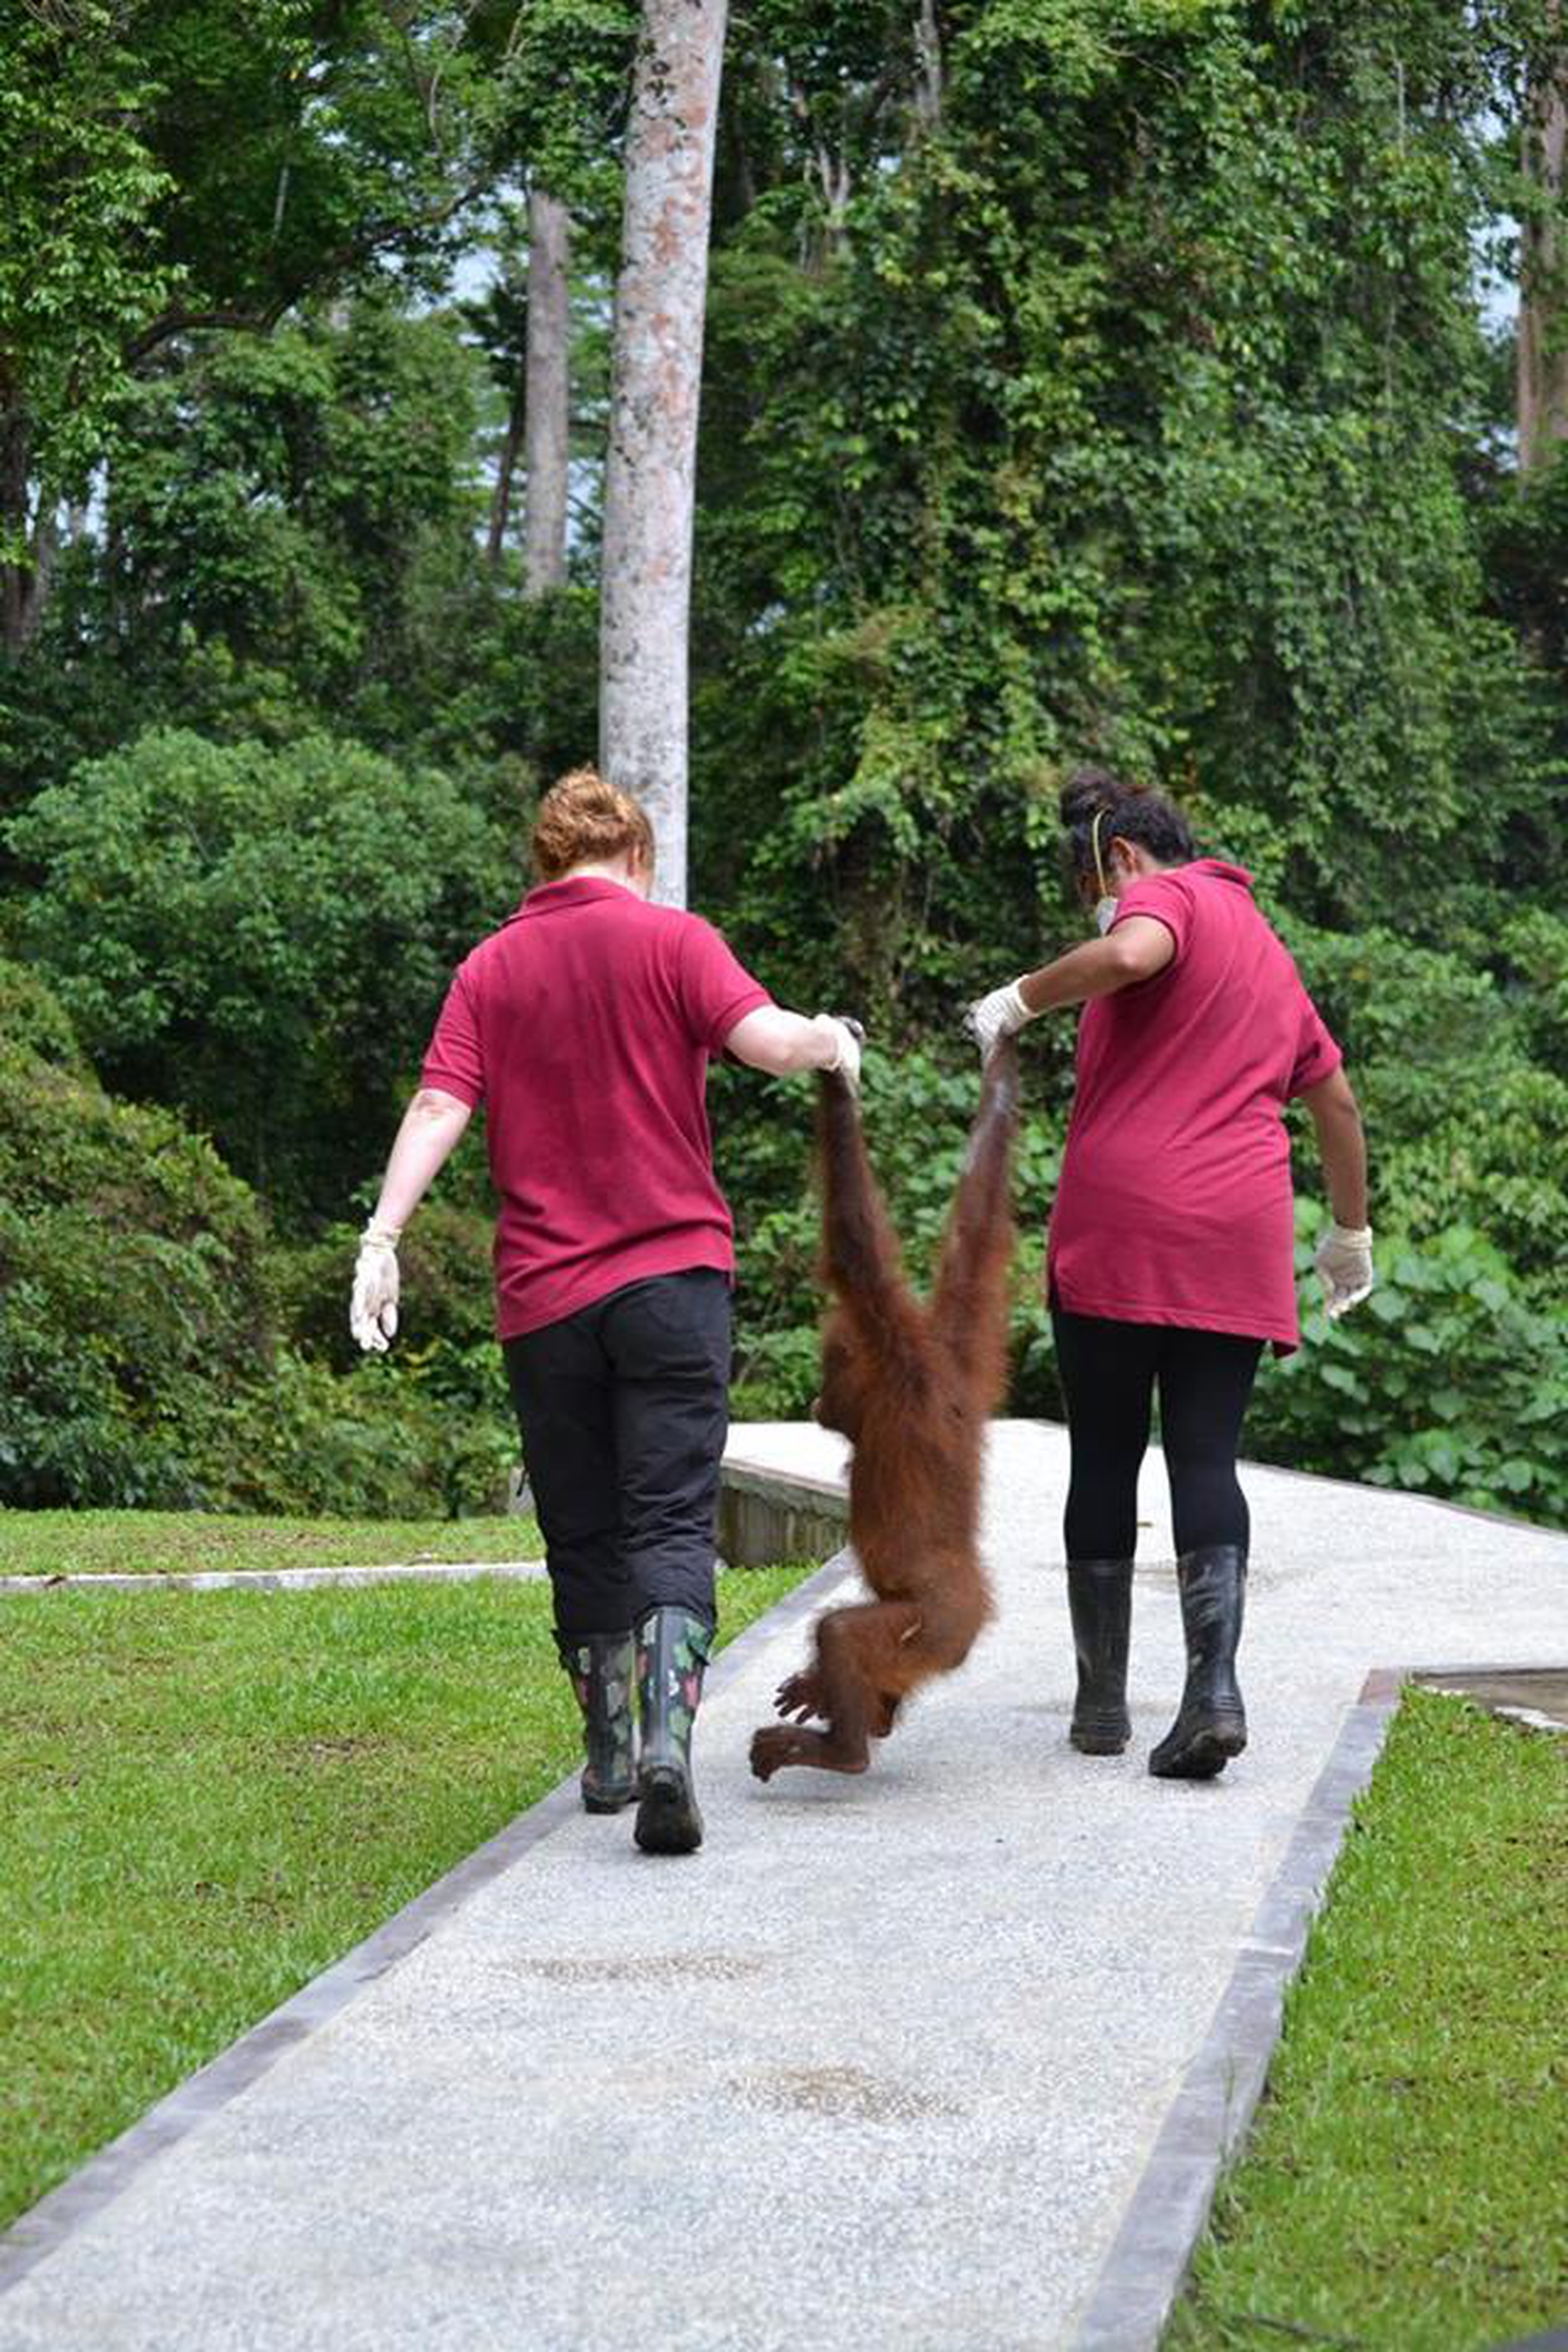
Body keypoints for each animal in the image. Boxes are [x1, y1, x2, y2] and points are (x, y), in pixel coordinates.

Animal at [748, 1037, 1020, 1784]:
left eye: (830, 1371)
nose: (818, 1400)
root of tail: (977, 1606)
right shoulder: (955, 1345)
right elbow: (973, 1231)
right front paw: (1001, 1063)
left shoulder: (896, 1344)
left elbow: (855, 1244)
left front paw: (836, 1079)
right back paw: (864, 1714)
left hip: (929, 1625)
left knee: (842, 1630)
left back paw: (844, 1750)